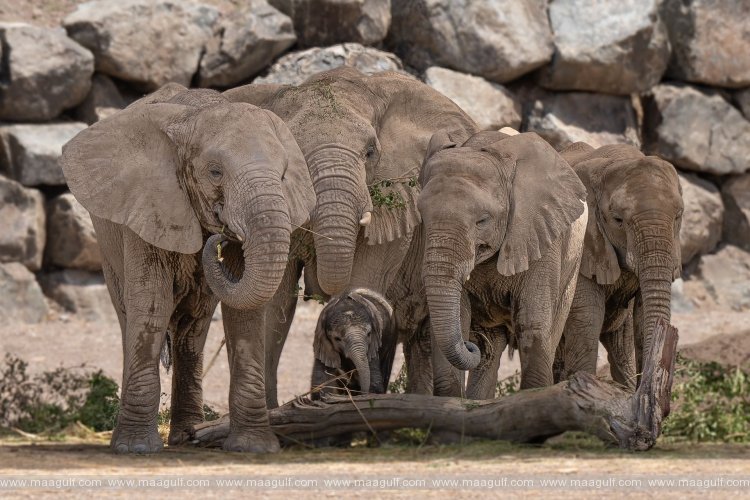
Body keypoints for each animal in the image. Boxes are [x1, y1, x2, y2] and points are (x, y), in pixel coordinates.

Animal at [59, 84, 314, 452]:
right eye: (215, 172)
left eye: (282, 174)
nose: (220, 238)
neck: (193, 117)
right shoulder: (147, 205)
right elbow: (152, 304)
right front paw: (136, 449)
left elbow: (244, 316)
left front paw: (253, 447)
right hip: (109, 250)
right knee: (130, 317)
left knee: (193, 329)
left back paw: (187, 436)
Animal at [420, 130, 592, 394]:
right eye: (422, 215)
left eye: (482, 220)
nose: (470, 346)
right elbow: (458, 318)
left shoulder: (543, 239)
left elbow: (534, 327)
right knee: (491, 349)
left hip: (572, 268)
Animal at [556, 142, 684, 390]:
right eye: (618, 220)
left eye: (678, 216)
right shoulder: (582, 244)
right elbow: (587, 317)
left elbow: (642, 316)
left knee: (622, 345)